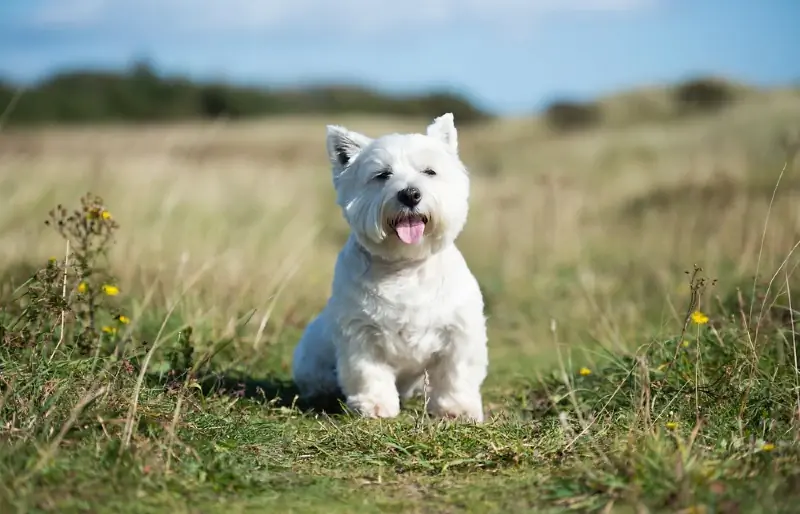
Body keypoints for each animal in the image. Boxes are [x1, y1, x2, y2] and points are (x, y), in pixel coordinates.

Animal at [290, 112, 484, 420]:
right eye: (382, 175)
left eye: (430, 172)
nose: (410, 194)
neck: (405, 266)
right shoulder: (360, 334)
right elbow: (368, 372)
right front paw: (375, 405)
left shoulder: (459, 332)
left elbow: (456, 374)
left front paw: (456, 409)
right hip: (311, 353)